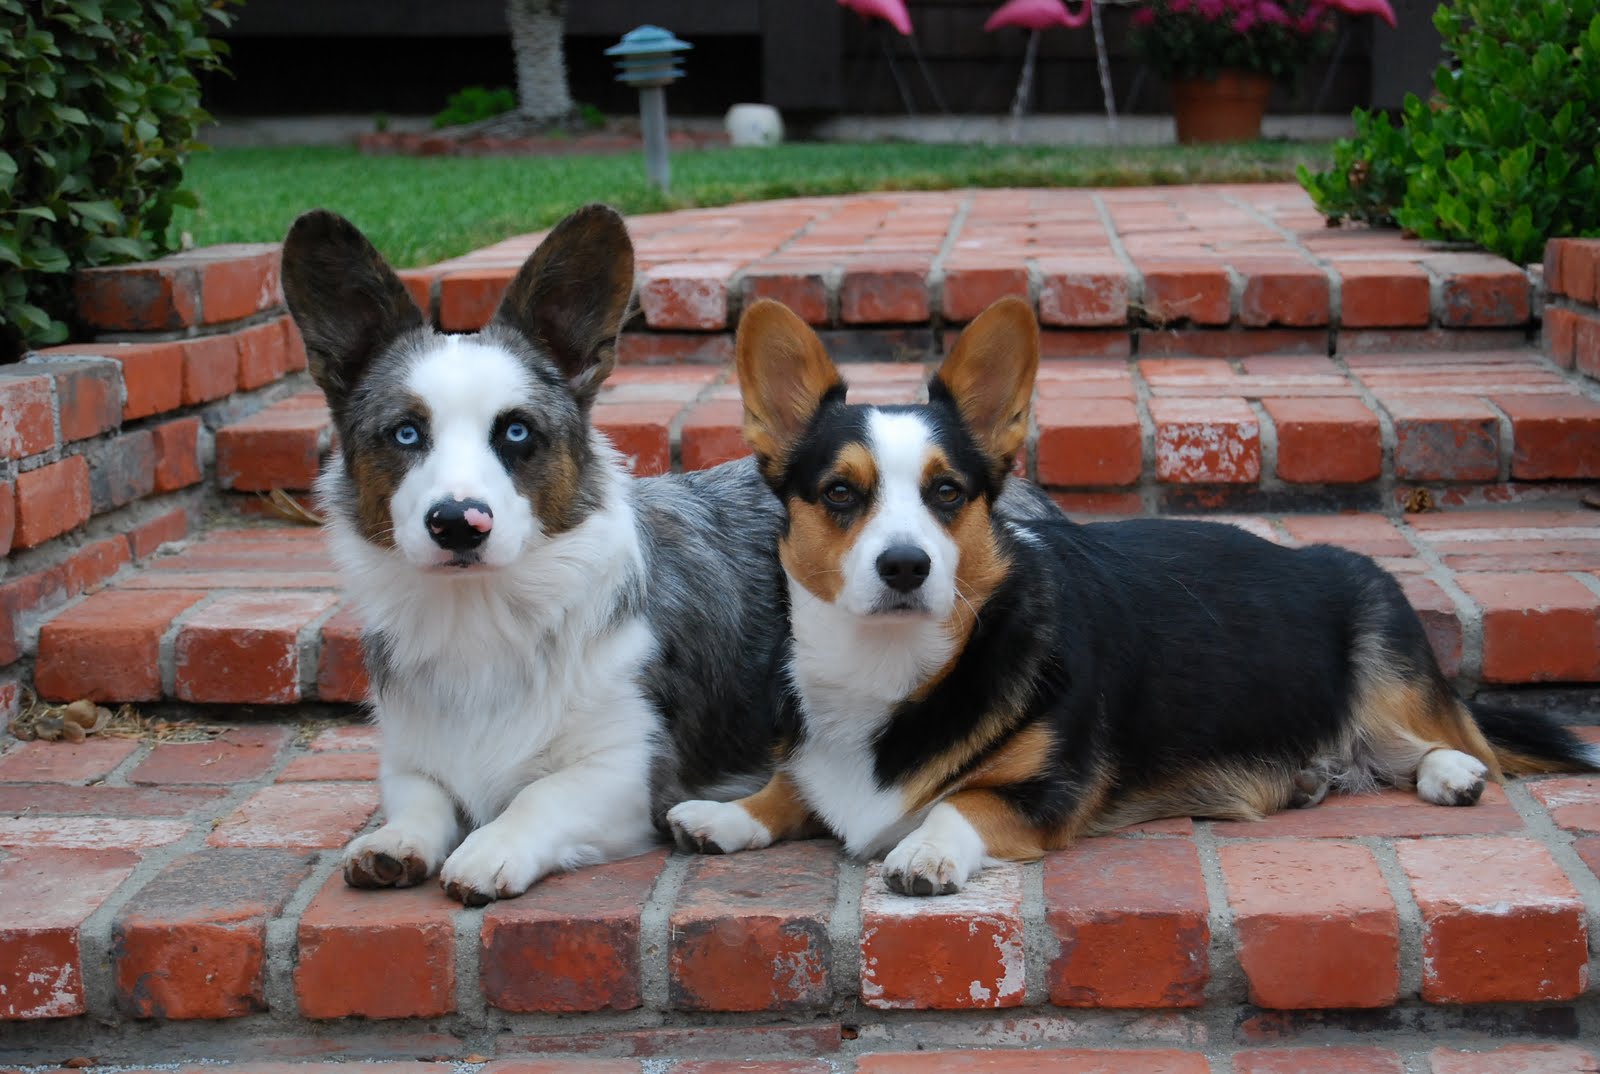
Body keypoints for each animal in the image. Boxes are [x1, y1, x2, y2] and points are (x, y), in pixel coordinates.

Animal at [280, 205, 1058, 904]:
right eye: (406, 434)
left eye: (517, 432)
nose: (457, 524)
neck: (480, 614)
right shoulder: (410, 758)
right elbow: (419, 800)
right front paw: (392, 844)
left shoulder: (625, 772)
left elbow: (538, 797)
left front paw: (489, 849)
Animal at [667, 296, 1600, 896]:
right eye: (838, 494)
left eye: (947, 492)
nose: (905, 567)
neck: (889, 670)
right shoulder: (816, 758)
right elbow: (791, 787)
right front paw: (728, 814)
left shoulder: (1046, 791)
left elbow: (959, 802)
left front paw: (925, 854)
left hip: (1391, 661)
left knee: (1462, 738)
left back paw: (1453, 773)